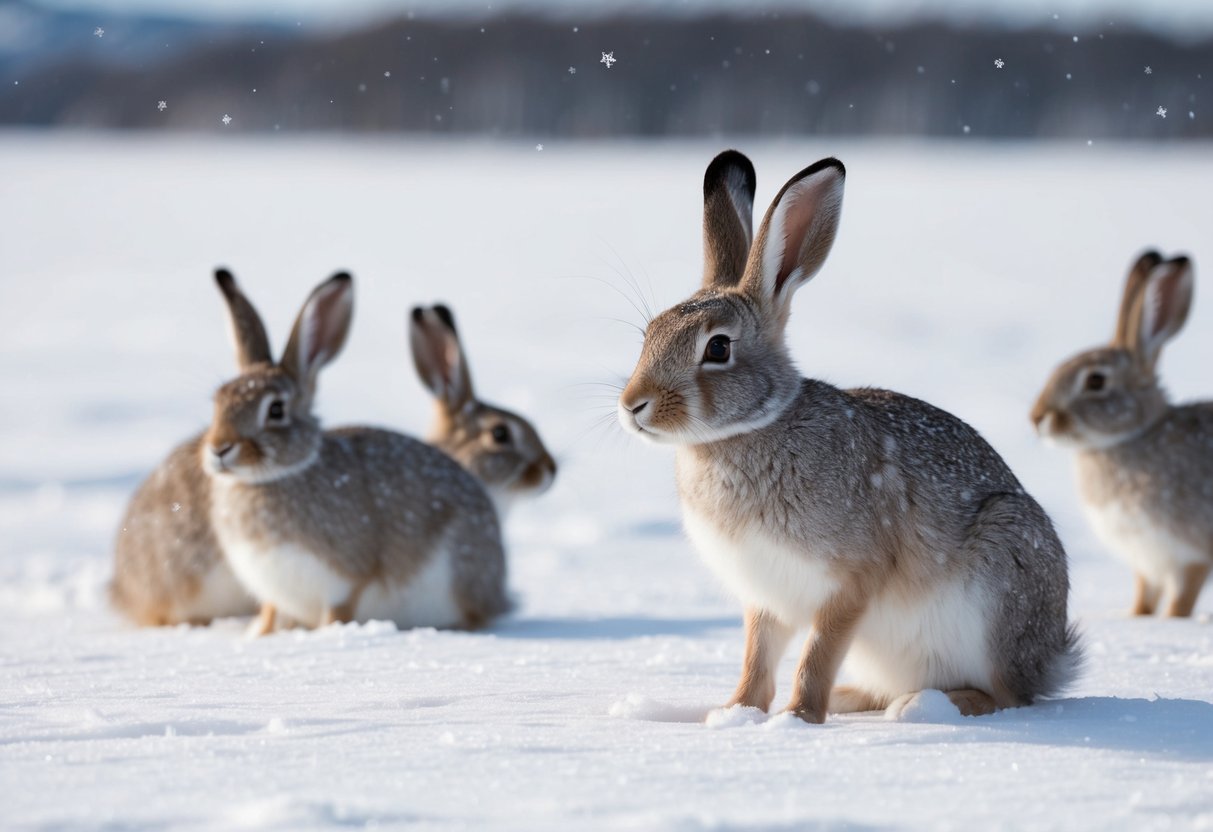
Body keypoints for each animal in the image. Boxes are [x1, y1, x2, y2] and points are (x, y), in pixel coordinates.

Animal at [203, 269, 510, 636]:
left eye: (276, 410)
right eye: (217, 402)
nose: (219, 448)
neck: (268, 479)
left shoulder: (345, 576)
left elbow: (339, 609)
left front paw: (329, 635)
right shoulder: (272, 589)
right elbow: (270, 612)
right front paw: (258, 636)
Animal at [616, 150, 1080, 723]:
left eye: (718, 348)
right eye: (649, 333)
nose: (633, 405)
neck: (750, 429)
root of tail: (1055, 657)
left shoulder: (850, 583)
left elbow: (817, 652)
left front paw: (796, 718)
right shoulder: (765, 597)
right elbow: (757, 656)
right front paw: (736, 714)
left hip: (999, 579)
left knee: (1009, 694)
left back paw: (925, 708)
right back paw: (855, 700)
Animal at [1031, 251, 1211, 617]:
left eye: (1096, 381)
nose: (1037, 417)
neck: (1132, 436)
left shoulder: (1191, 554)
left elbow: (1182, 599)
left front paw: (1172, 621)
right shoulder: (1145, 560)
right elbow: (1145, 595)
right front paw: (1136, 617)